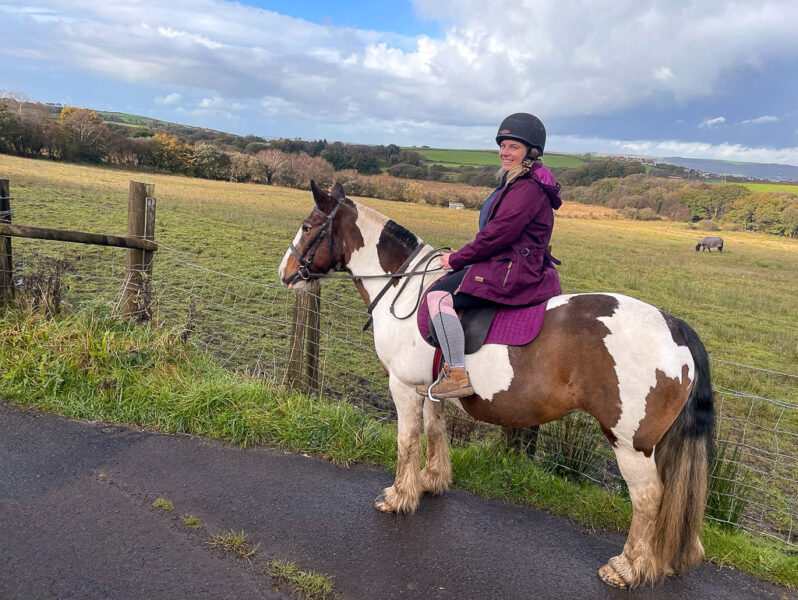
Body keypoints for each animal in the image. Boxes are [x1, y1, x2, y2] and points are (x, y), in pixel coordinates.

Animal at [278, 180, 716, 588]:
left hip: (629, 443)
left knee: (649, 498)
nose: (284, 274)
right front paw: (431, 482)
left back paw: (626, 569)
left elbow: (407, 441)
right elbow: (435, 431)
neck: (406, 288)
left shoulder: (402, 386)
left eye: (307, 226)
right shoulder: (428, 388)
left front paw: (399, 497)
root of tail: (673, 325)